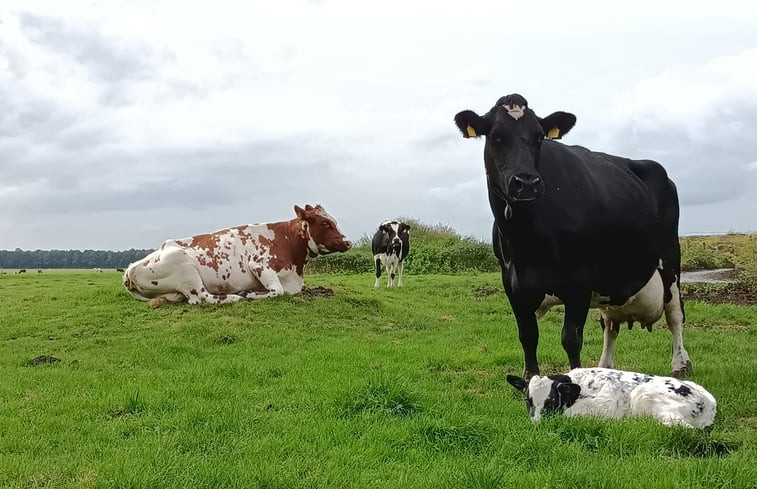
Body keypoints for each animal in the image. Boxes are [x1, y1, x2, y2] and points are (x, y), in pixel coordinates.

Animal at [123, 204, 352, 306]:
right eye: (325, 223)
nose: (348, 242)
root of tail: (130, 269)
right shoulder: (258, 264)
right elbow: (277, 291)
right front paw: (249, 293)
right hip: (185, 268)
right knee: (203, 297)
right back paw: (235, 296)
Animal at [454, 93, 692, 380]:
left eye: (539, 137)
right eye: (496, 136)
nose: (527, 183)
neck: (527, 244)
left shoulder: (579, 283)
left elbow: (571, 338)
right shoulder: (512, 285)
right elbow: (528, 336)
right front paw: (530, 380)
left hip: (670, 257)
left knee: (675, 313)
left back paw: (680, 364)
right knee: (610, 324)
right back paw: (605, 367)